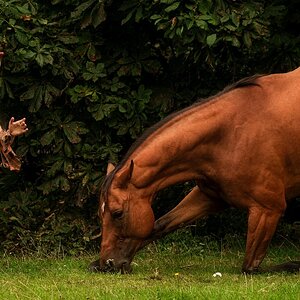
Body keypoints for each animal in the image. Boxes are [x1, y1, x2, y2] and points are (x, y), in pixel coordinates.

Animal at [90, 68, 300, 274]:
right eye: (100, 214)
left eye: (117, 213)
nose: (108, 264)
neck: (231, 135)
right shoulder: (209, 197)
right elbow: (160, 225)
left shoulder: (267, 209)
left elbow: (249, 268)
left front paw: (293, 265)